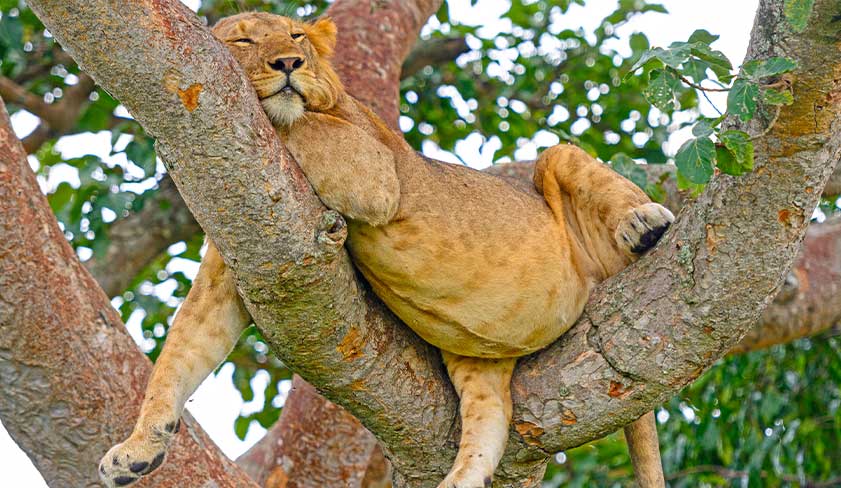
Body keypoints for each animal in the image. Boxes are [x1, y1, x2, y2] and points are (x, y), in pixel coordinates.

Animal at [98, 11, 672, 488]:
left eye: (296, 36)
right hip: (475, 355)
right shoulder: (236, 261)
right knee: (490, 422)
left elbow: (300, 121)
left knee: (578, 171)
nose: (288, 64)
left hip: (559, 169)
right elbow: (180, 353)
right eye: (243, 40)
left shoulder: (375, 170)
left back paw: (645, 224)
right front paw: (135, 449)